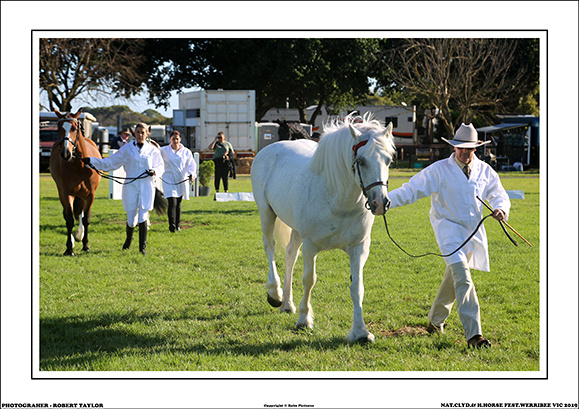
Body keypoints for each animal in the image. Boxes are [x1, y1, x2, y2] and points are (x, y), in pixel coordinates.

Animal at [49, 108, 102, 255]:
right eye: (59, 128)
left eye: (74, 128)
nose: (65, 153)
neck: (80, 166)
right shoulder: (67, 193)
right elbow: (69, 220)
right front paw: (69, 248)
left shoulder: (90, 195)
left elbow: (86, 219)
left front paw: (86, 245)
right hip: (62, 192)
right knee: (68, 214)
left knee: (80, 214)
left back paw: (79, 235)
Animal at [251, 114, 396, 342]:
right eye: (361, 161)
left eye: (388, 160)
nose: (380, 203)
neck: (337, 199)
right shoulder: (311, 247)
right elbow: (309, 280)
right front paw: (304, 320)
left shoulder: (359, 248)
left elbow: (357, 287)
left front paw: (360, 332)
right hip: (266, 213)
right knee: (270, 247)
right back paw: (275, 294)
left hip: (296, 230)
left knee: (290, 255)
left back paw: (288, 304)